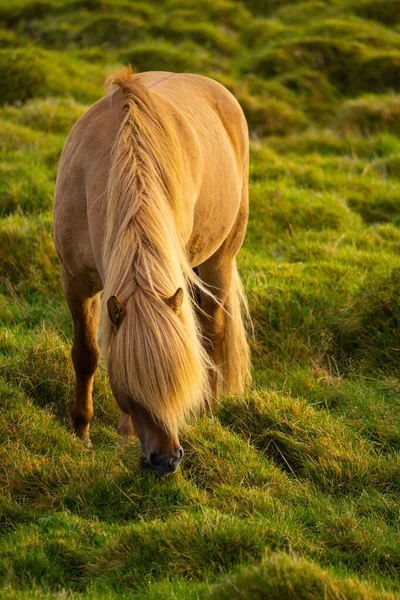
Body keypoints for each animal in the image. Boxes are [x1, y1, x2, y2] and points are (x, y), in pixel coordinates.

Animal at [54, 67, 250, 478]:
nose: (168, 461)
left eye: (178, 383)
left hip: (220, 259)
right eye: (129, 387)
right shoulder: (76, 280)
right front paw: (81, 432)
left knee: (212, 331)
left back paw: (210, 408)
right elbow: (86, 354)